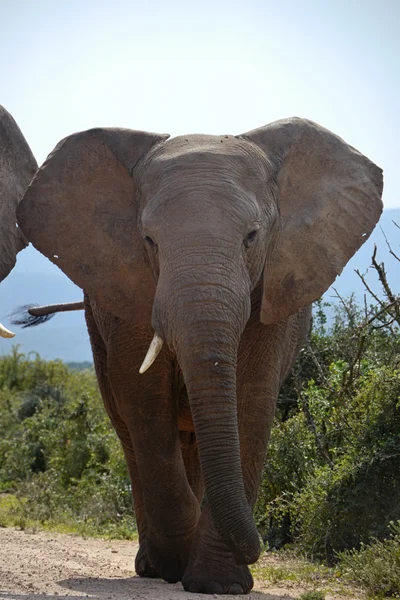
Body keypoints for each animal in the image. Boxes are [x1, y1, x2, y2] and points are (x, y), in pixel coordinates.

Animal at [15, 118, 382, 596]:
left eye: (252, 237)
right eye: (149, 240)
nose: (261, 545)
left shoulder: (275, 286)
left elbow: (252, 398)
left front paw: (217, 583)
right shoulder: (130, 289)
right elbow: (144, 399)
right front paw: (177, 563)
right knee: (130, 433)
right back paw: (153, 565)